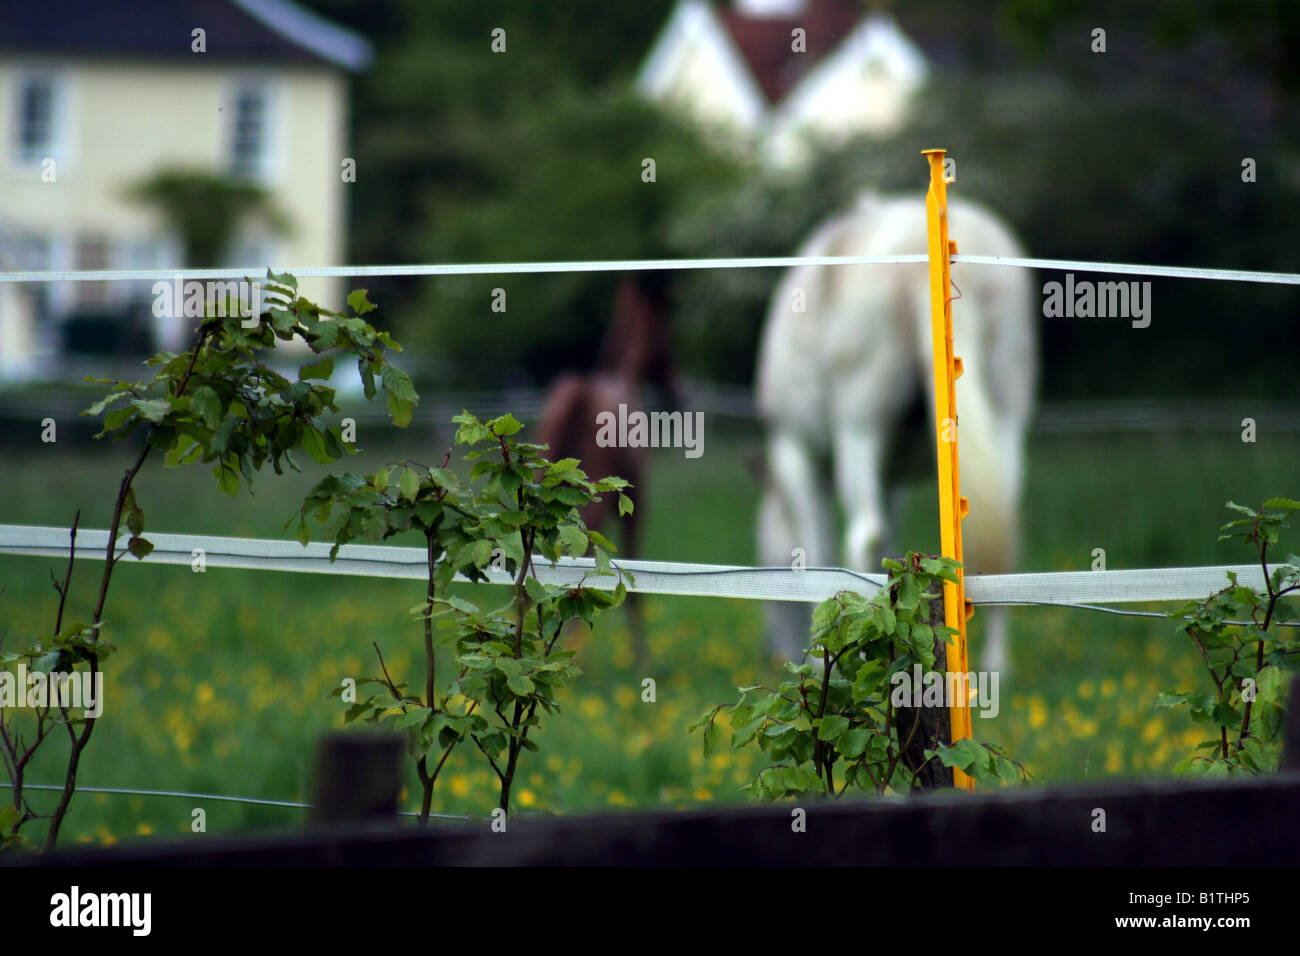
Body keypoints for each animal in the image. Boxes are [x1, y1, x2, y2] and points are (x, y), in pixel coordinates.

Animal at [754, 192, 1034, 671]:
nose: (774, 646)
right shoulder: (893, 479)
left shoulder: (795, 451)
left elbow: (816, 553)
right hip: (1007, 418)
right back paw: (996, 666)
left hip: (858, 431)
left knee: (864, 535)